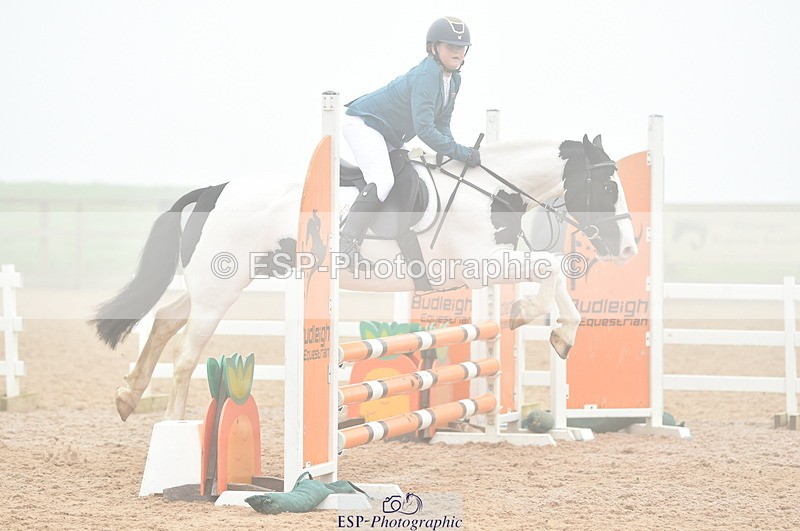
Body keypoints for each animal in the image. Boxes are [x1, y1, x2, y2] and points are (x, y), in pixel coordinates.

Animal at [91, 134, 638, 421]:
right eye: (609, 186)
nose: (629, 250)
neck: (486, 192)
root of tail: (217, 188)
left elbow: (556, 277)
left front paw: (563, 336)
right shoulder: (478, 265)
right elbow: (548, 269)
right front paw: (527, 313)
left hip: (219, 282)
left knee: (166, 318)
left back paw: (128, 395)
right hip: (220, 286)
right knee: (187, 355)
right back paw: (173, 429)